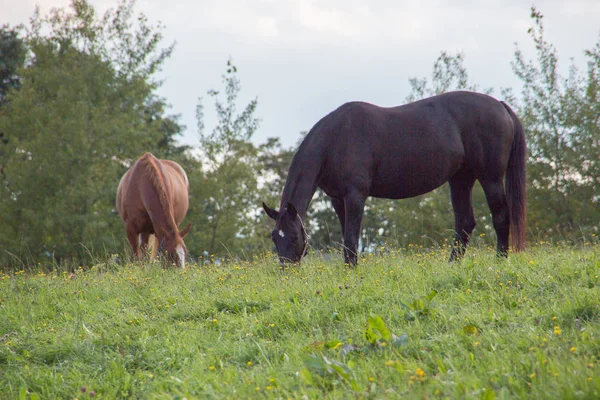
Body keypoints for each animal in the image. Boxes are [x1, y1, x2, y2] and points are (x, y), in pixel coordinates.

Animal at [264, 91, 528, 266]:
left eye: (294, 236)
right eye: (274, 238)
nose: (286, 270)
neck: (336, 140)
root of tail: (500, 106)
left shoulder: (355, 196)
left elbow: (351, 238)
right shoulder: (338, 199)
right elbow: (346, 236)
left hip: (490, 177)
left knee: (500, 216)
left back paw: (500, 261)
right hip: (461, 179)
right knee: (464, 223)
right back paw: (452, 265)